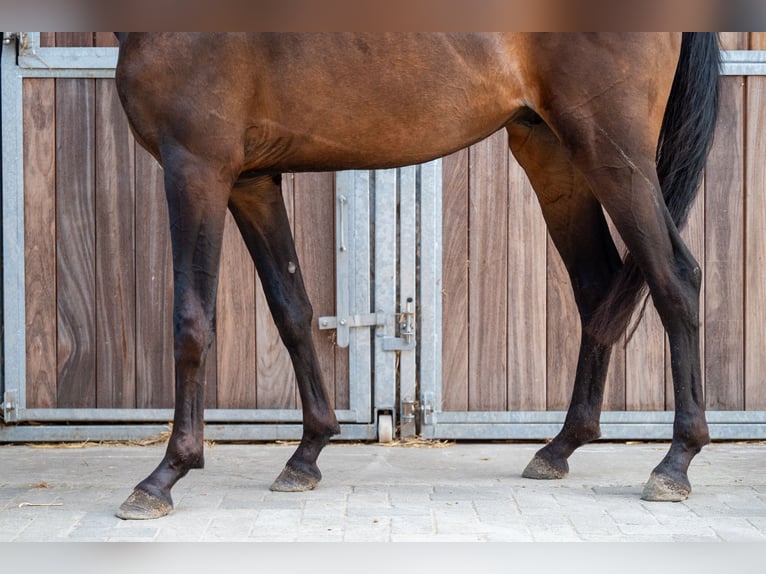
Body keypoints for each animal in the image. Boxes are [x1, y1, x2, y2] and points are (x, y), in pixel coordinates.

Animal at [112, 35, 720, 520]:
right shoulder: (251, 181)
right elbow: (292, 309)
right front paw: (307, 454)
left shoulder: (198, 168)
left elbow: (192, 321)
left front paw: (164, 475)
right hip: (555, 154)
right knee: (597, 291)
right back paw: (561, 448)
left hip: (614, 152)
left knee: (676, 278)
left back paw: (674, 464)